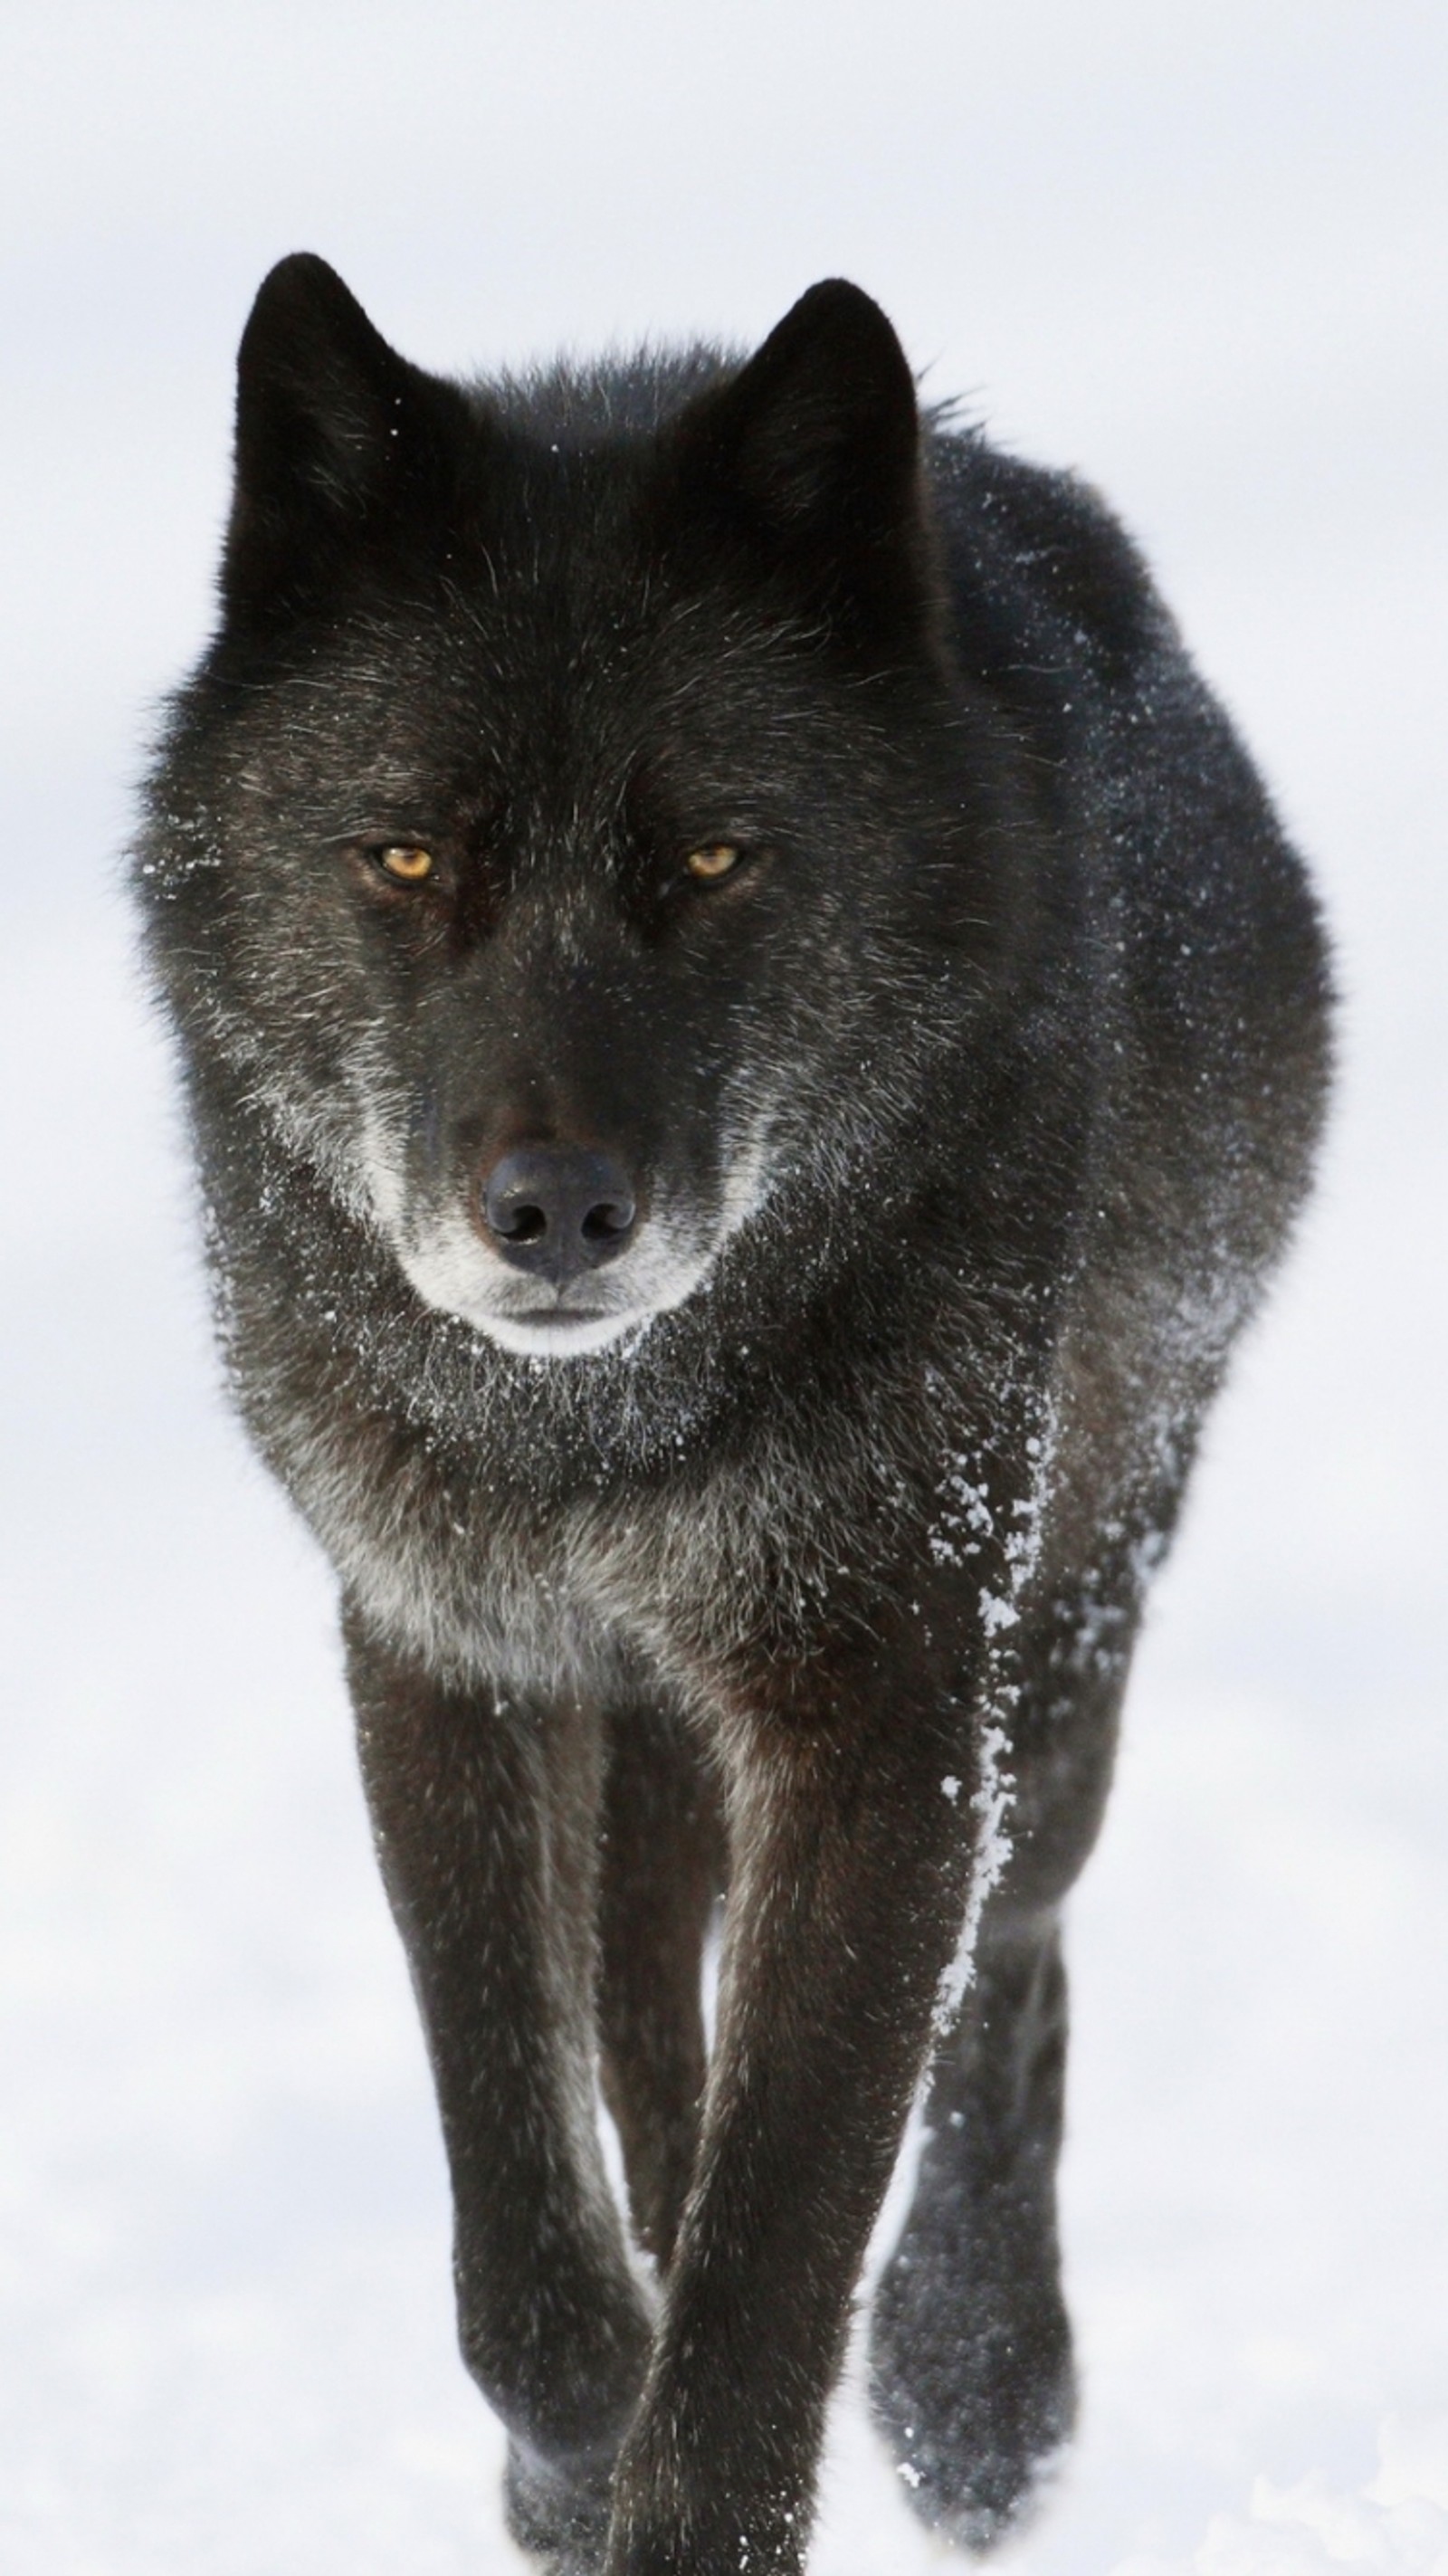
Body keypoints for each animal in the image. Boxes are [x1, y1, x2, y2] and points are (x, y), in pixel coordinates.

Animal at [132, 261, 1319, 2576]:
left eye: (709, 853)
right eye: (404, 850)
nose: (555, 1210)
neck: (593, 1440)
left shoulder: (880, 1704)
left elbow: (783, 2236)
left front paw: (717, 2463)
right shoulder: (449, 1649)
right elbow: (525, 2206)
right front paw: (569, 2444)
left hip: (1061, 1621)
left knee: (1008, 1960)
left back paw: (974, 2387)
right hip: (664, 1731)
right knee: (646, 2015)